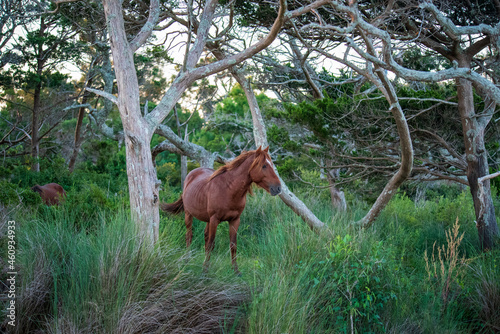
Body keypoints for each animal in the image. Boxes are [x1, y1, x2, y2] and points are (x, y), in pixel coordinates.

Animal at [163, 146, 282, 274]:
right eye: (264, 166)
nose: (278, 188)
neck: (228, 189)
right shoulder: (215, 219)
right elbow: (211, 244)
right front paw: (205, 270)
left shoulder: (235, 220)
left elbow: (233, 245)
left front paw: (236, 271)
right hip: (189, 214)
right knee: (189, 236)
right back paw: (187, 260)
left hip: (207, 219)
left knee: (205, 236)